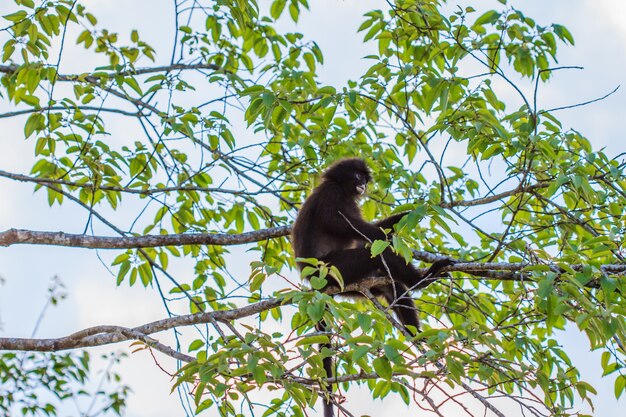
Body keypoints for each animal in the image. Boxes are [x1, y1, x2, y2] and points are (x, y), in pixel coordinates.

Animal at [290, 157, 450, 416]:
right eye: (358, 177)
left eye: (365, 179)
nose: (363, 186)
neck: (339, 186)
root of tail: (314, 282)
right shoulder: (332, 196)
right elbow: (366, 231)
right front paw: (414, 213)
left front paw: (414, 211)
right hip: (335, 270)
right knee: (375, 254)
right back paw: (422, 279)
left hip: (351, 285)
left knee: (392, 285)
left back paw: (420, 340)